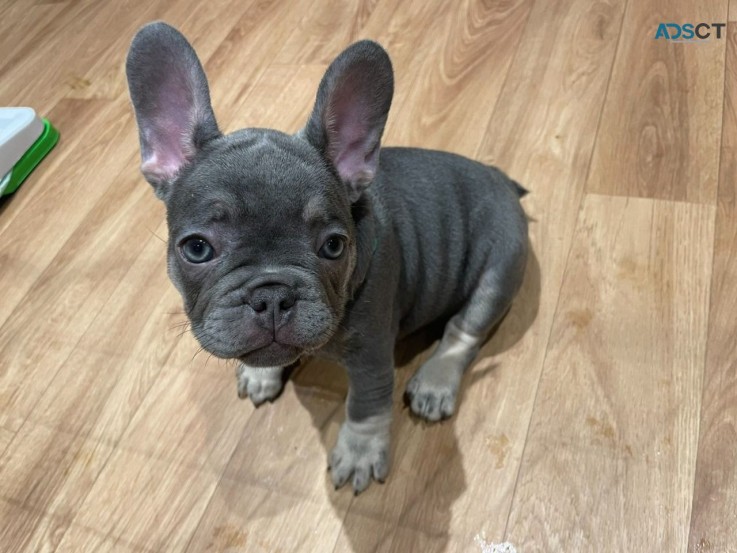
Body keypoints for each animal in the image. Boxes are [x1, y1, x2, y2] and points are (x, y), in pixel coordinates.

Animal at [128, 23, 528, 494]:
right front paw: (262, 374)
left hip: (500, 266)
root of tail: (502, 180)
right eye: (197, 249)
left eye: (334, 246)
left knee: (464, 330)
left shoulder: (374, 358)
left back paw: (435, 382)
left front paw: (359, 453)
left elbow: (367, 406)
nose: (271, 295)